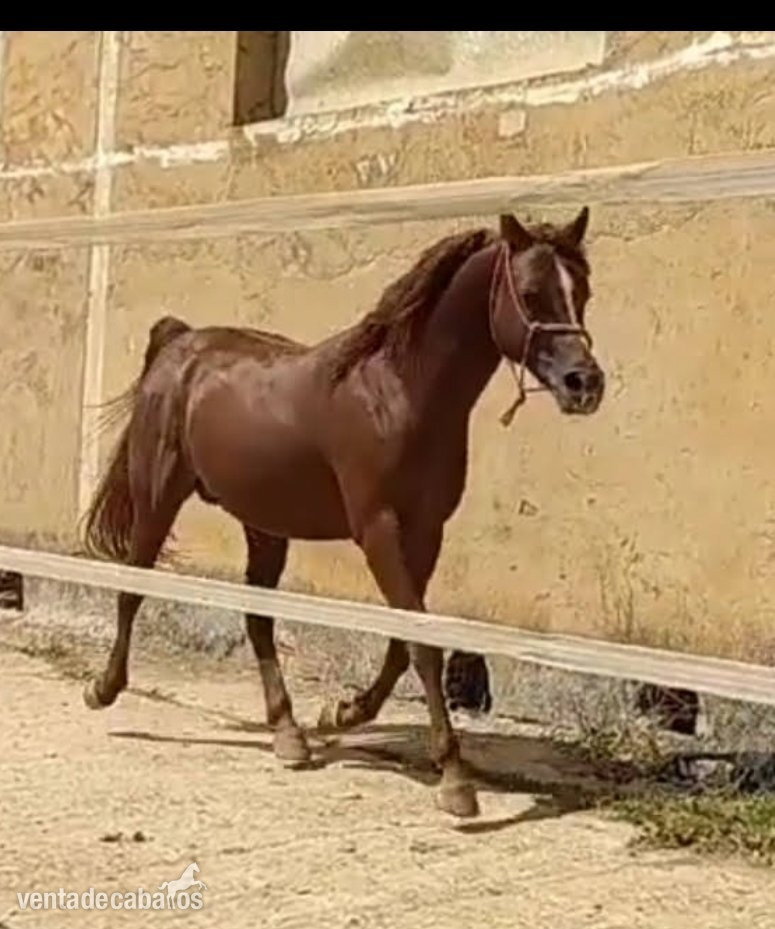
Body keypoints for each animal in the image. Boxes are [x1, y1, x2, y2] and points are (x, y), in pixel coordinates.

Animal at [81, 207, 605, 818]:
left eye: (582, 291)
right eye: (530, 293)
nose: (584, 384)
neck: (400, 392)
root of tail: (182, 344)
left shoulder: (425, 534)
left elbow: (403, 641)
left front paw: (344, 712)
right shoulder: (379, 530)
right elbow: (421, 645)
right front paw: (455, 781)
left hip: (265, 525)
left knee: (257, 619)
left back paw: (289, 734)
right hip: (158, 498)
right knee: (132, 588)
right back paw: (103, 689)